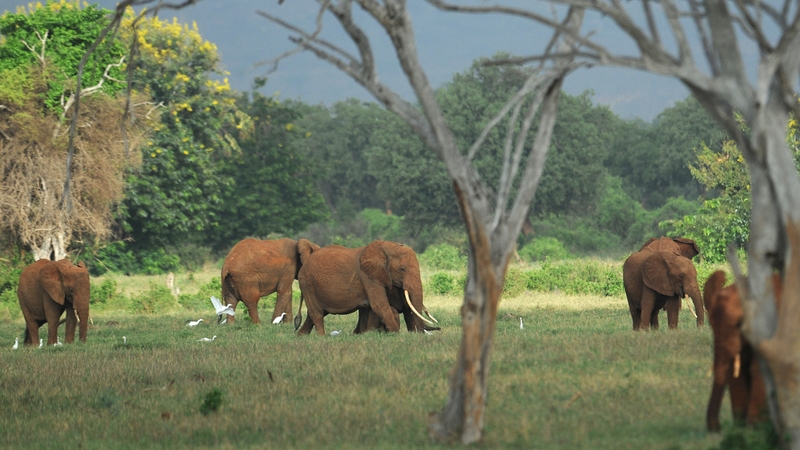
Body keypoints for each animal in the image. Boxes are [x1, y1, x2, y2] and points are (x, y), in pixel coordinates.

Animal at [296, 240, 437, 336]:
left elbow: (403, 306)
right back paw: (322, 337)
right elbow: (379, 304)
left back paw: (301, 336)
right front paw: (394, 334)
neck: (386, 247)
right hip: (308, 283)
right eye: (402, 269)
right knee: (317, 313)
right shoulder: (368, 277)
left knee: (316, 313)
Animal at [704, 270, 774, 432]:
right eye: (711, 325)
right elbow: (736, 371)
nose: (717, 428)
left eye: (739, 325)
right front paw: (740, 427)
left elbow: (757, 369)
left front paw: (753, 427)